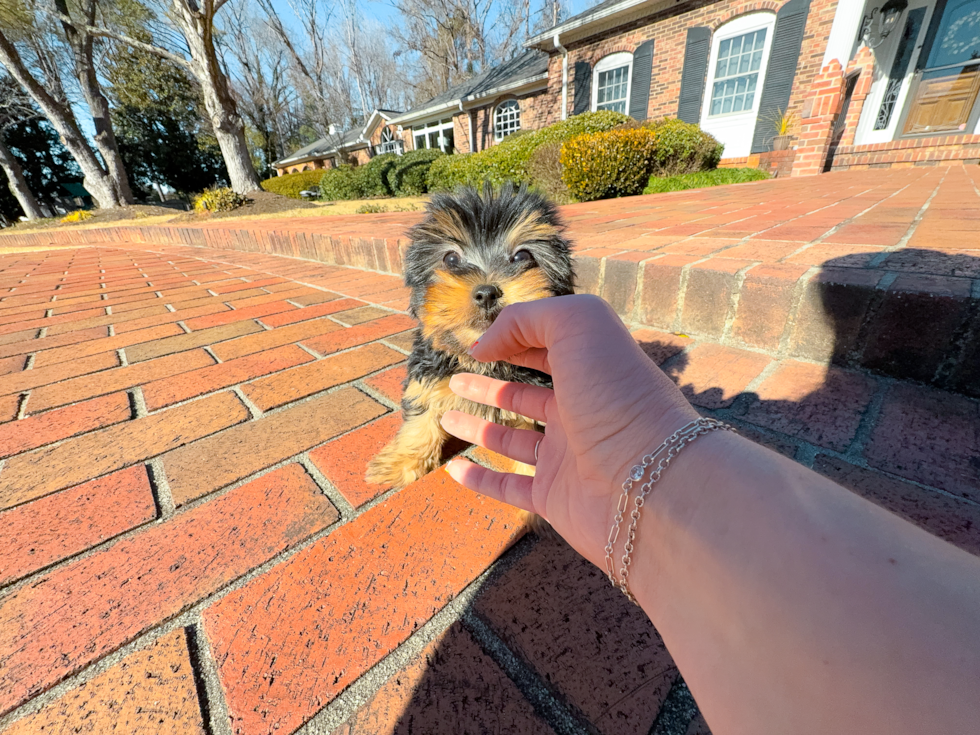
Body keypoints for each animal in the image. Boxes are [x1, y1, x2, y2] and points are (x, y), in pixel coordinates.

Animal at [368, 182, 576, 492]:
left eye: (522, 256)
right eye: (451, 258)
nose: (487, 292)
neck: (480, 358)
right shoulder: (430, 375)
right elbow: (421, 416)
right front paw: (401, 463)